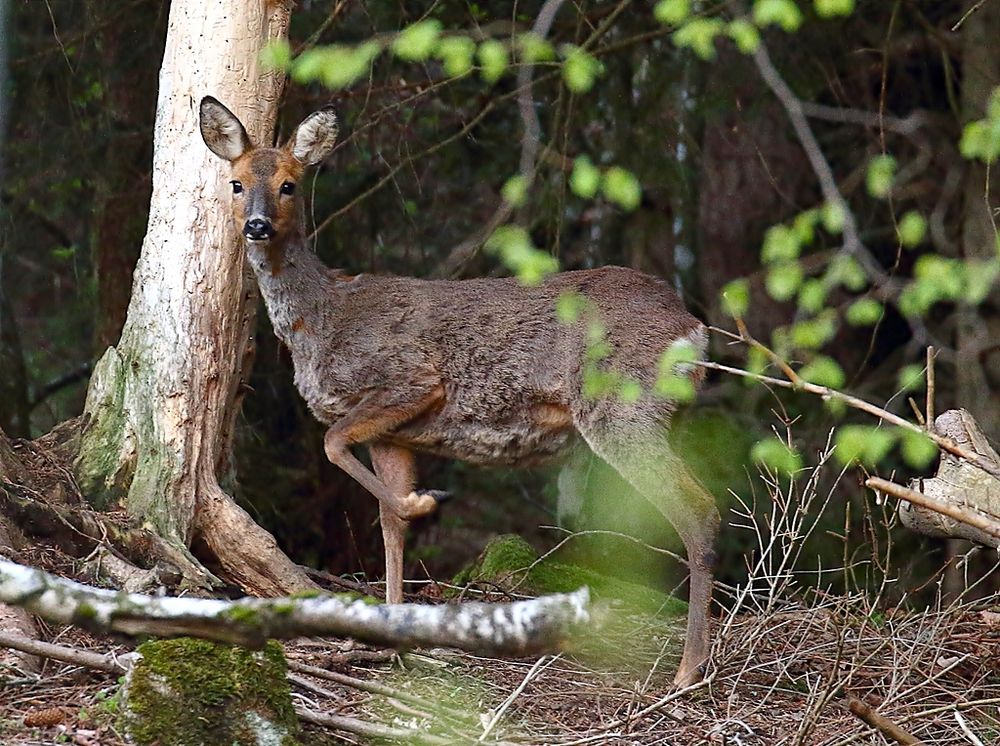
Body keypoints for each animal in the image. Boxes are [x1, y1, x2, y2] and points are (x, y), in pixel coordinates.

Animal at [199, 96, 724, 684]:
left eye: (289, 184)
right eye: (237, 182)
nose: (257, 225)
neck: (323, 319)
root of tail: (692, 328)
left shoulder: (409, 380)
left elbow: (334, 444)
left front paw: (423, 502)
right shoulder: (393, 436)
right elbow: (386, 523)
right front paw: (392, 633)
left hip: (620, 409)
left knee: (697, 510)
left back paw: (687, 671)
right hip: (661, 417)